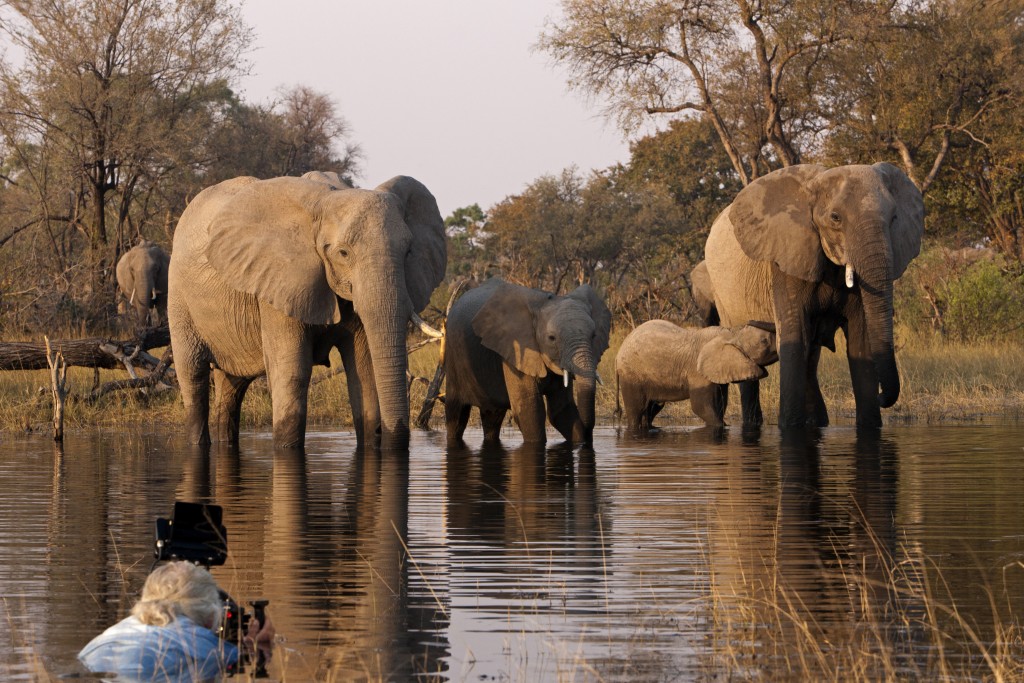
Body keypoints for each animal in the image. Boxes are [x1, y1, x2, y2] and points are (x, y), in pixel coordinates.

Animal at [165, 169, 446, 448]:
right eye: (343, 253)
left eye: (408, 252)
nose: (387, 434)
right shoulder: (278, 282)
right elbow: (292, 374)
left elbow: (364, 372)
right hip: (178, 298)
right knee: (193, 377)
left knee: (231, 386)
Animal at [446, 278, 606, 448]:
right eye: (552, 338)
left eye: (594, 335)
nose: (588, 437)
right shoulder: (516, 351)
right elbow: (530, 410)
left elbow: (562, 410)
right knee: (456, 416)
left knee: (493, 416)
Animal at [610, 319, 778, 428]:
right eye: (764, 341)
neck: (731, 333)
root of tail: (617, 356)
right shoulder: (697, 373)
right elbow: (701, 406)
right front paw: (720, 426)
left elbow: (720, 405)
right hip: (631, 375)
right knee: (636, 410)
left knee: (652, 409)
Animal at [708, 163, 925, 430]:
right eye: (835, 217)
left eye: (894, 218)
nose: (882, 396)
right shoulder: (786, 259)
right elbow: (794, 338)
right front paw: (790, 429)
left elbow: (860, 341)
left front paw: (870, 426)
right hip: (722, 293)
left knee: (811, 358)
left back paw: (818, 423)